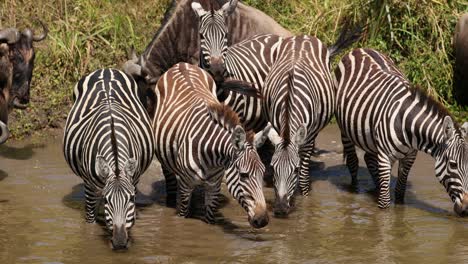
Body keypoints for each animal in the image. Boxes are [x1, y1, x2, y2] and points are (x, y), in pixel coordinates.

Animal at [63, 68, 154, 250]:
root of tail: (105, 70)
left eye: (131, 198)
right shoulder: (89, 185)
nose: (119, 243)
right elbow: (89, 222)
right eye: (107, 200)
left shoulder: (134, 180)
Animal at [154, 62, 270, 227]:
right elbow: (183, 215)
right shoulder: (185, 185)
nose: (262, 221)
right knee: (170, 183)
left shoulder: (214, 186)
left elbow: (209, 217)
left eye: (262, 172)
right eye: (243, 175)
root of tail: (182, 64)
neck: (210, 155)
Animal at [334, 48, 468, 214]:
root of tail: (360, 49)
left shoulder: (410, 156)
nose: (465, 209)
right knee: (353, 161)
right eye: (453, 164)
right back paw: (355, 191)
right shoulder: (385, 158)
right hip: (345, 129)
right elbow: (384, 203)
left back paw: (376, 188)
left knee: (369, 158)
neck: (406, 123)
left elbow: (400, 193)